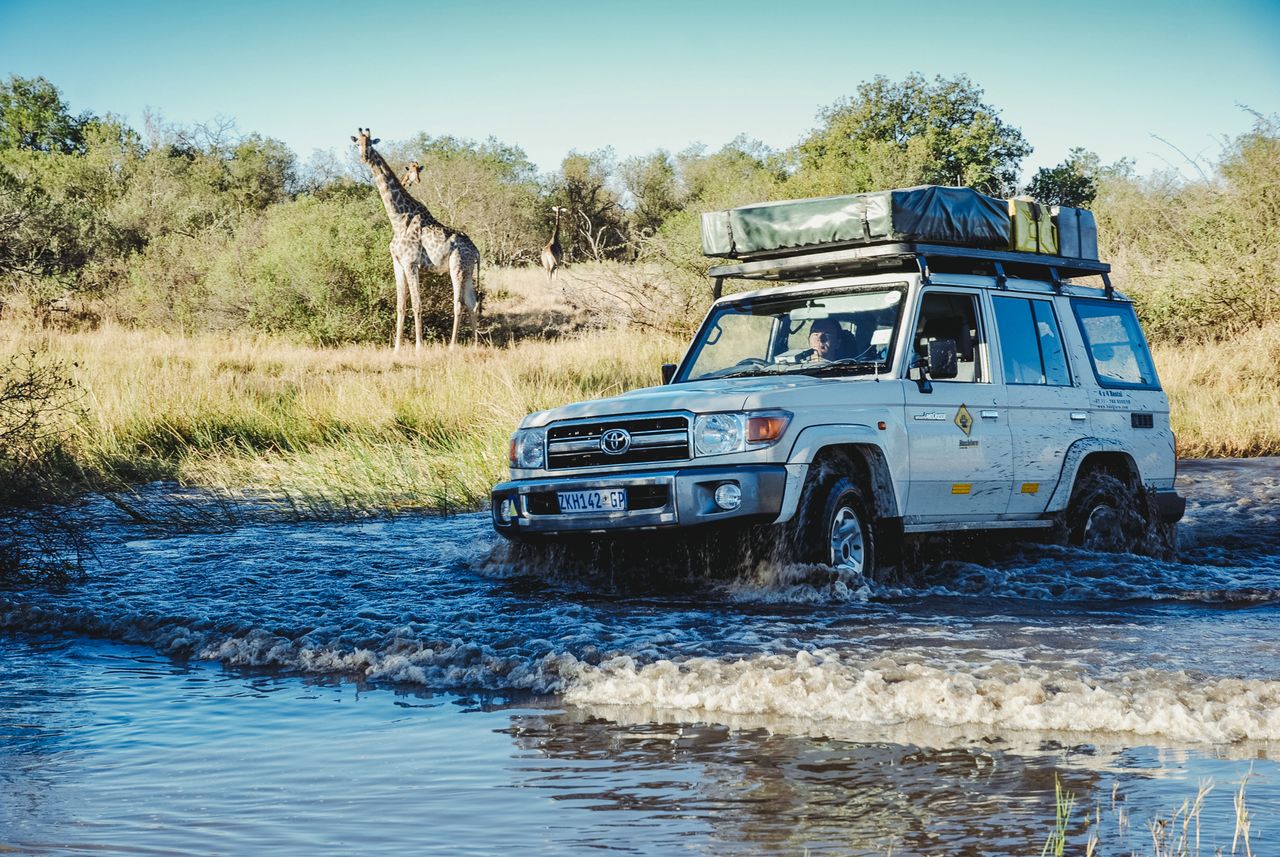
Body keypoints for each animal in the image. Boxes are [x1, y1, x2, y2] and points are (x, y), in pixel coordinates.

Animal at [350, 128, 481, 347]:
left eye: (371, 143)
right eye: (357, 144)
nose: (364, 157)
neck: (398, 219)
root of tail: (477, 251)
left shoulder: (411, 263)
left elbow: (417, 304)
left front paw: (419, 347)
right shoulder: (397, 263)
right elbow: (401, 305)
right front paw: (396, 348)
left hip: (458, 267)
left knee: (458, 303)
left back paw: (452, 346)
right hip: (468, 270)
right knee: (472, 303)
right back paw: (475, 344)